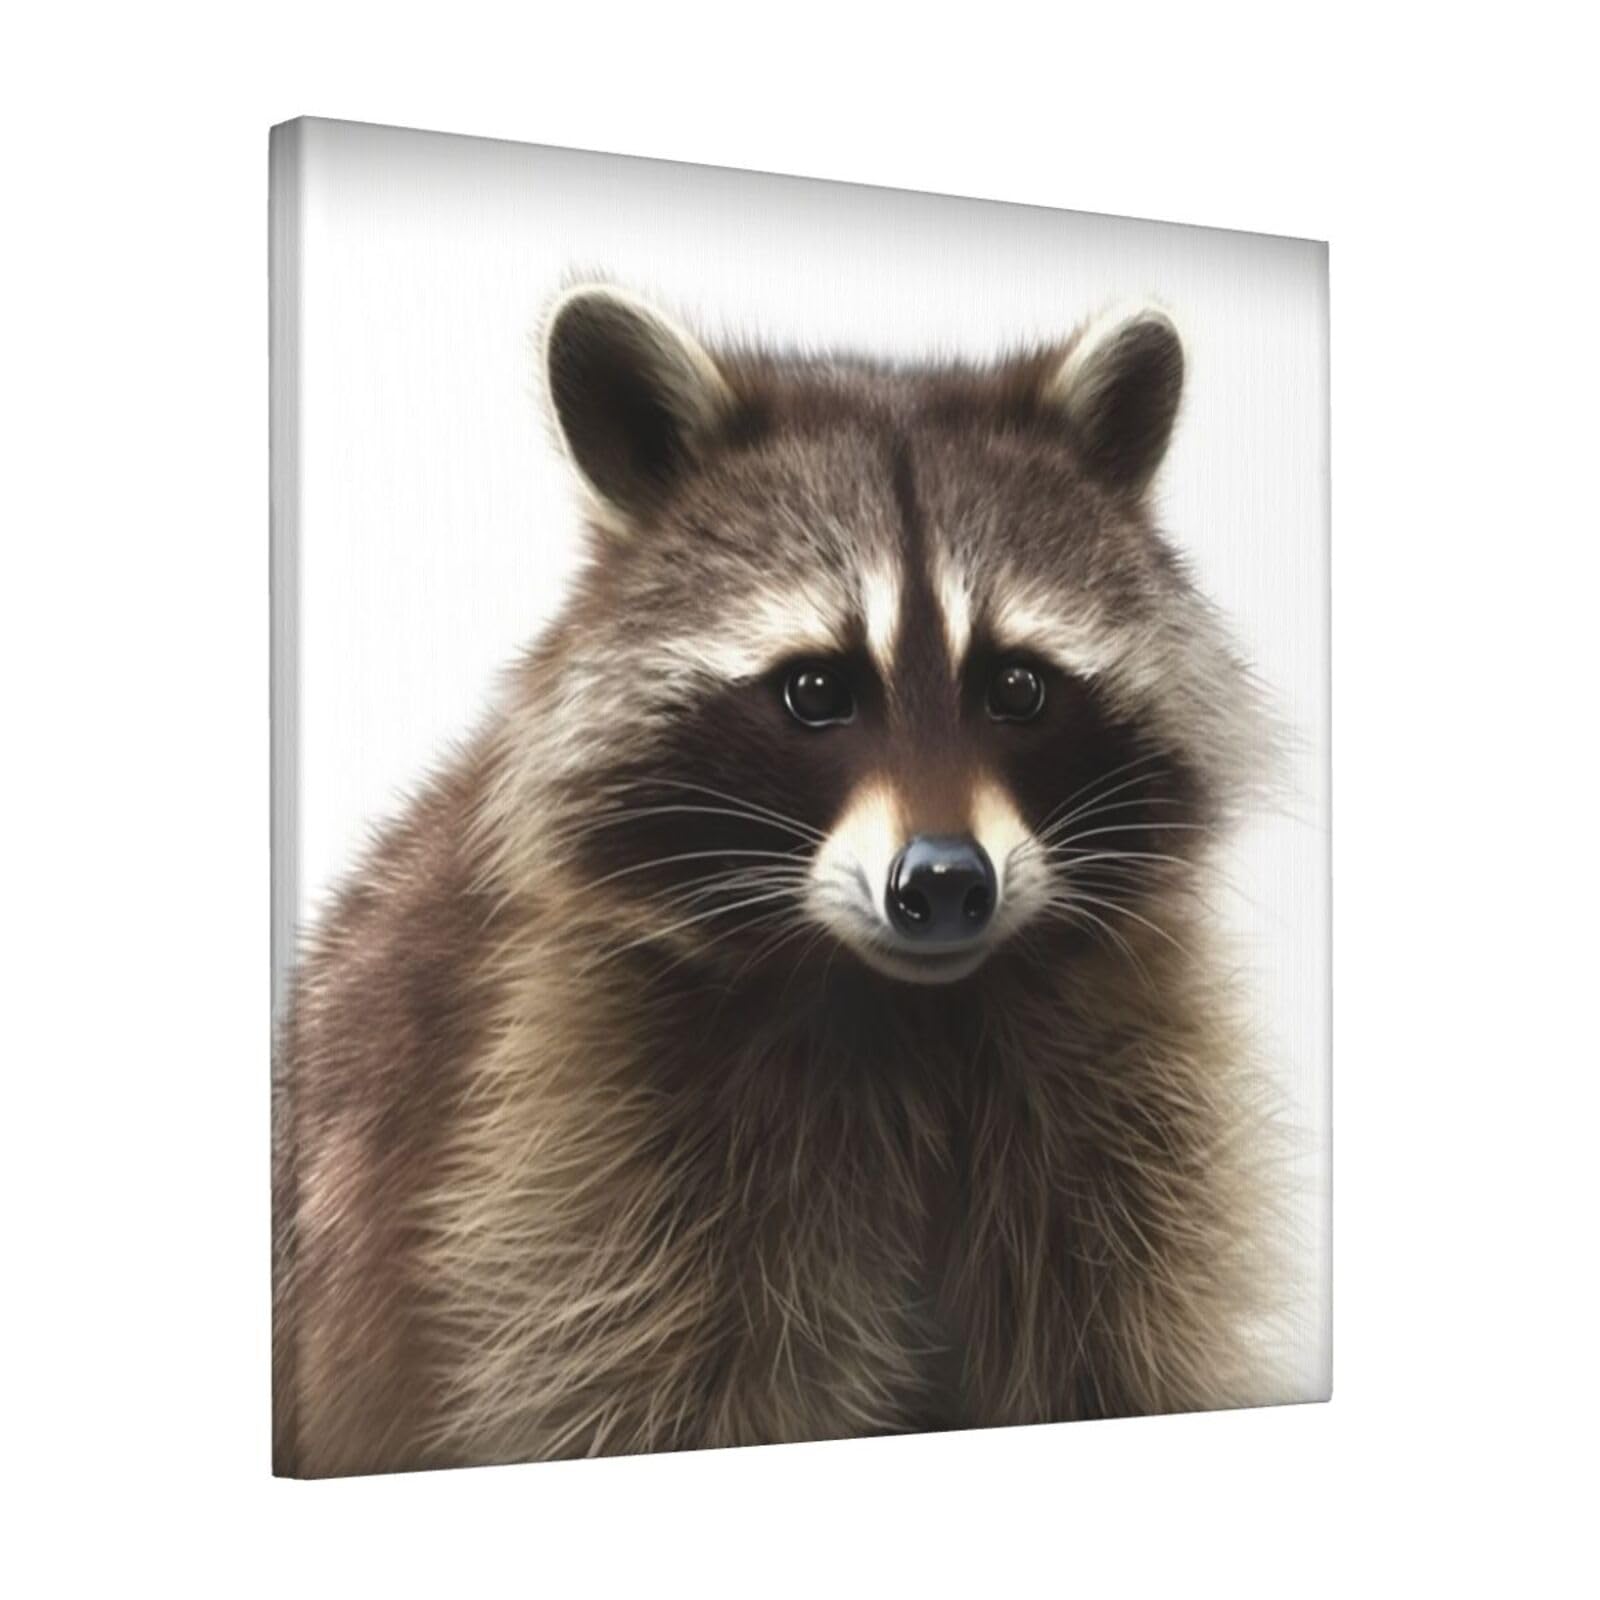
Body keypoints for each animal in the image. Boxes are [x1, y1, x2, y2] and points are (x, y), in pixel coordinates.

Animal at [273, 284, 1284, 1477]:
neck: (914, 1010)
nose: (945, 881)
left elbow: (1118, 1341)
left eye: (1018, 686)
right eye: (814, 690)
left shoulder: (1124, 1098)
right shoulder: (564, 1130)